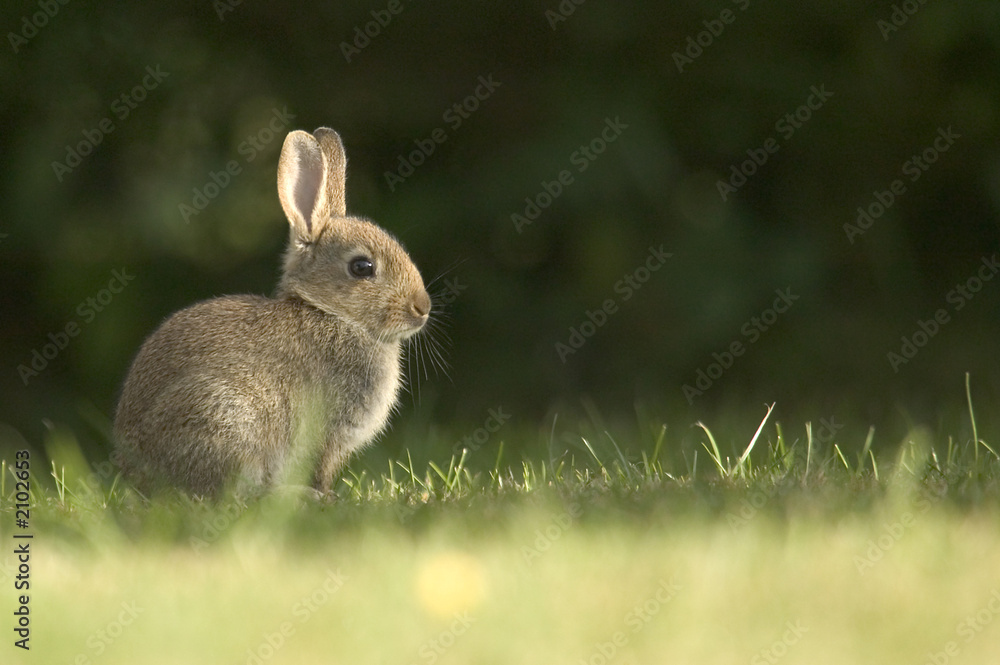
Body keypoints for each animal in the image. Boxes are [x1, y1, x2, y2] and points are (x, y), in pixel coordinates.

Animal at [113, 127, 431, 497]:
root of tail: (135, 475)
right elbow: (319, 468)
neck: (330, 313)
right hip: (224, 419)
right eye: (362, 267)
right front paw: (326, 495)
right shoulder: (327, 433)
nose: (422, 307)